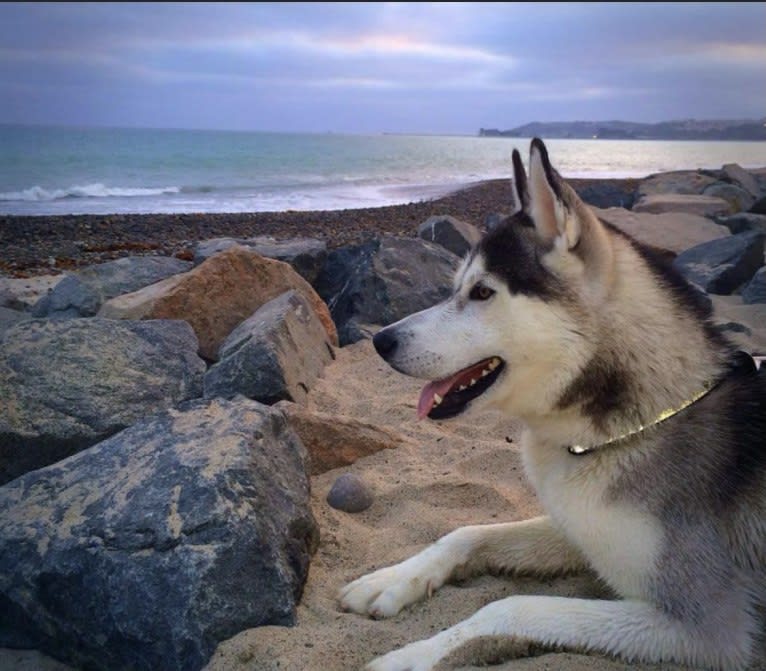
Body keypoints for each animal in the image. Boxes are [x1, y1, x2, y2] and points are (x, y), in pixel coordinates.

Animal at [342, 139, 766, 668]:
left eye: (481, 292)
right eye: (457, 287)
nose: (381, 341)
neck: (639, 424)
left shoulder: (708, 628)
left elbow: (511, 606)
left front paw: (414, 655)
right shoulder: (578, 526)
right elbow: (467, 532)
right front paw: (393, 579)